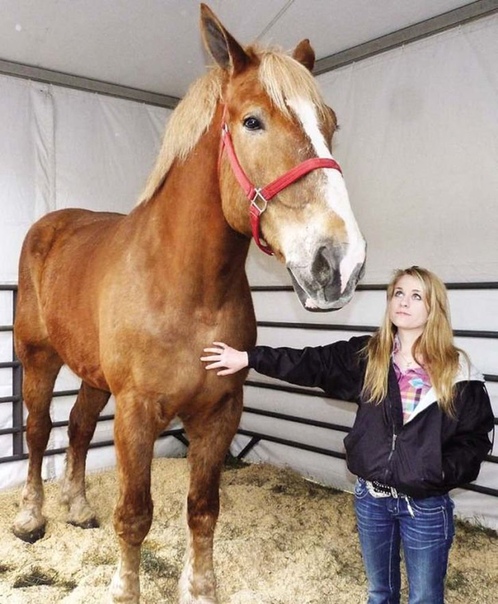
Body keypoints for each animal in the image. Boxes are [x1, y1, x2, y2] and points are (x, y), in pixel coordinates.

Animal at [11, 3, 366, 600]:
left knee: (77, 429)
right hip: (38, 358)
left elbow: (202, 508)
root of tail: (50, 225)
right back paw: (31, 518)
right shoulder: (136, 413)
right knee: (38, 433)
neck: (187, 292)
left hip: (91, 374)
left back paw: (78, 508)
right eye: (253, 122)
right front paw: (124, 589)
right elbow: (135, 513)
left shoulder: (220, 413)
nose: (340, 263)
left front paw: (199, 588)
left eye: (331, 125)